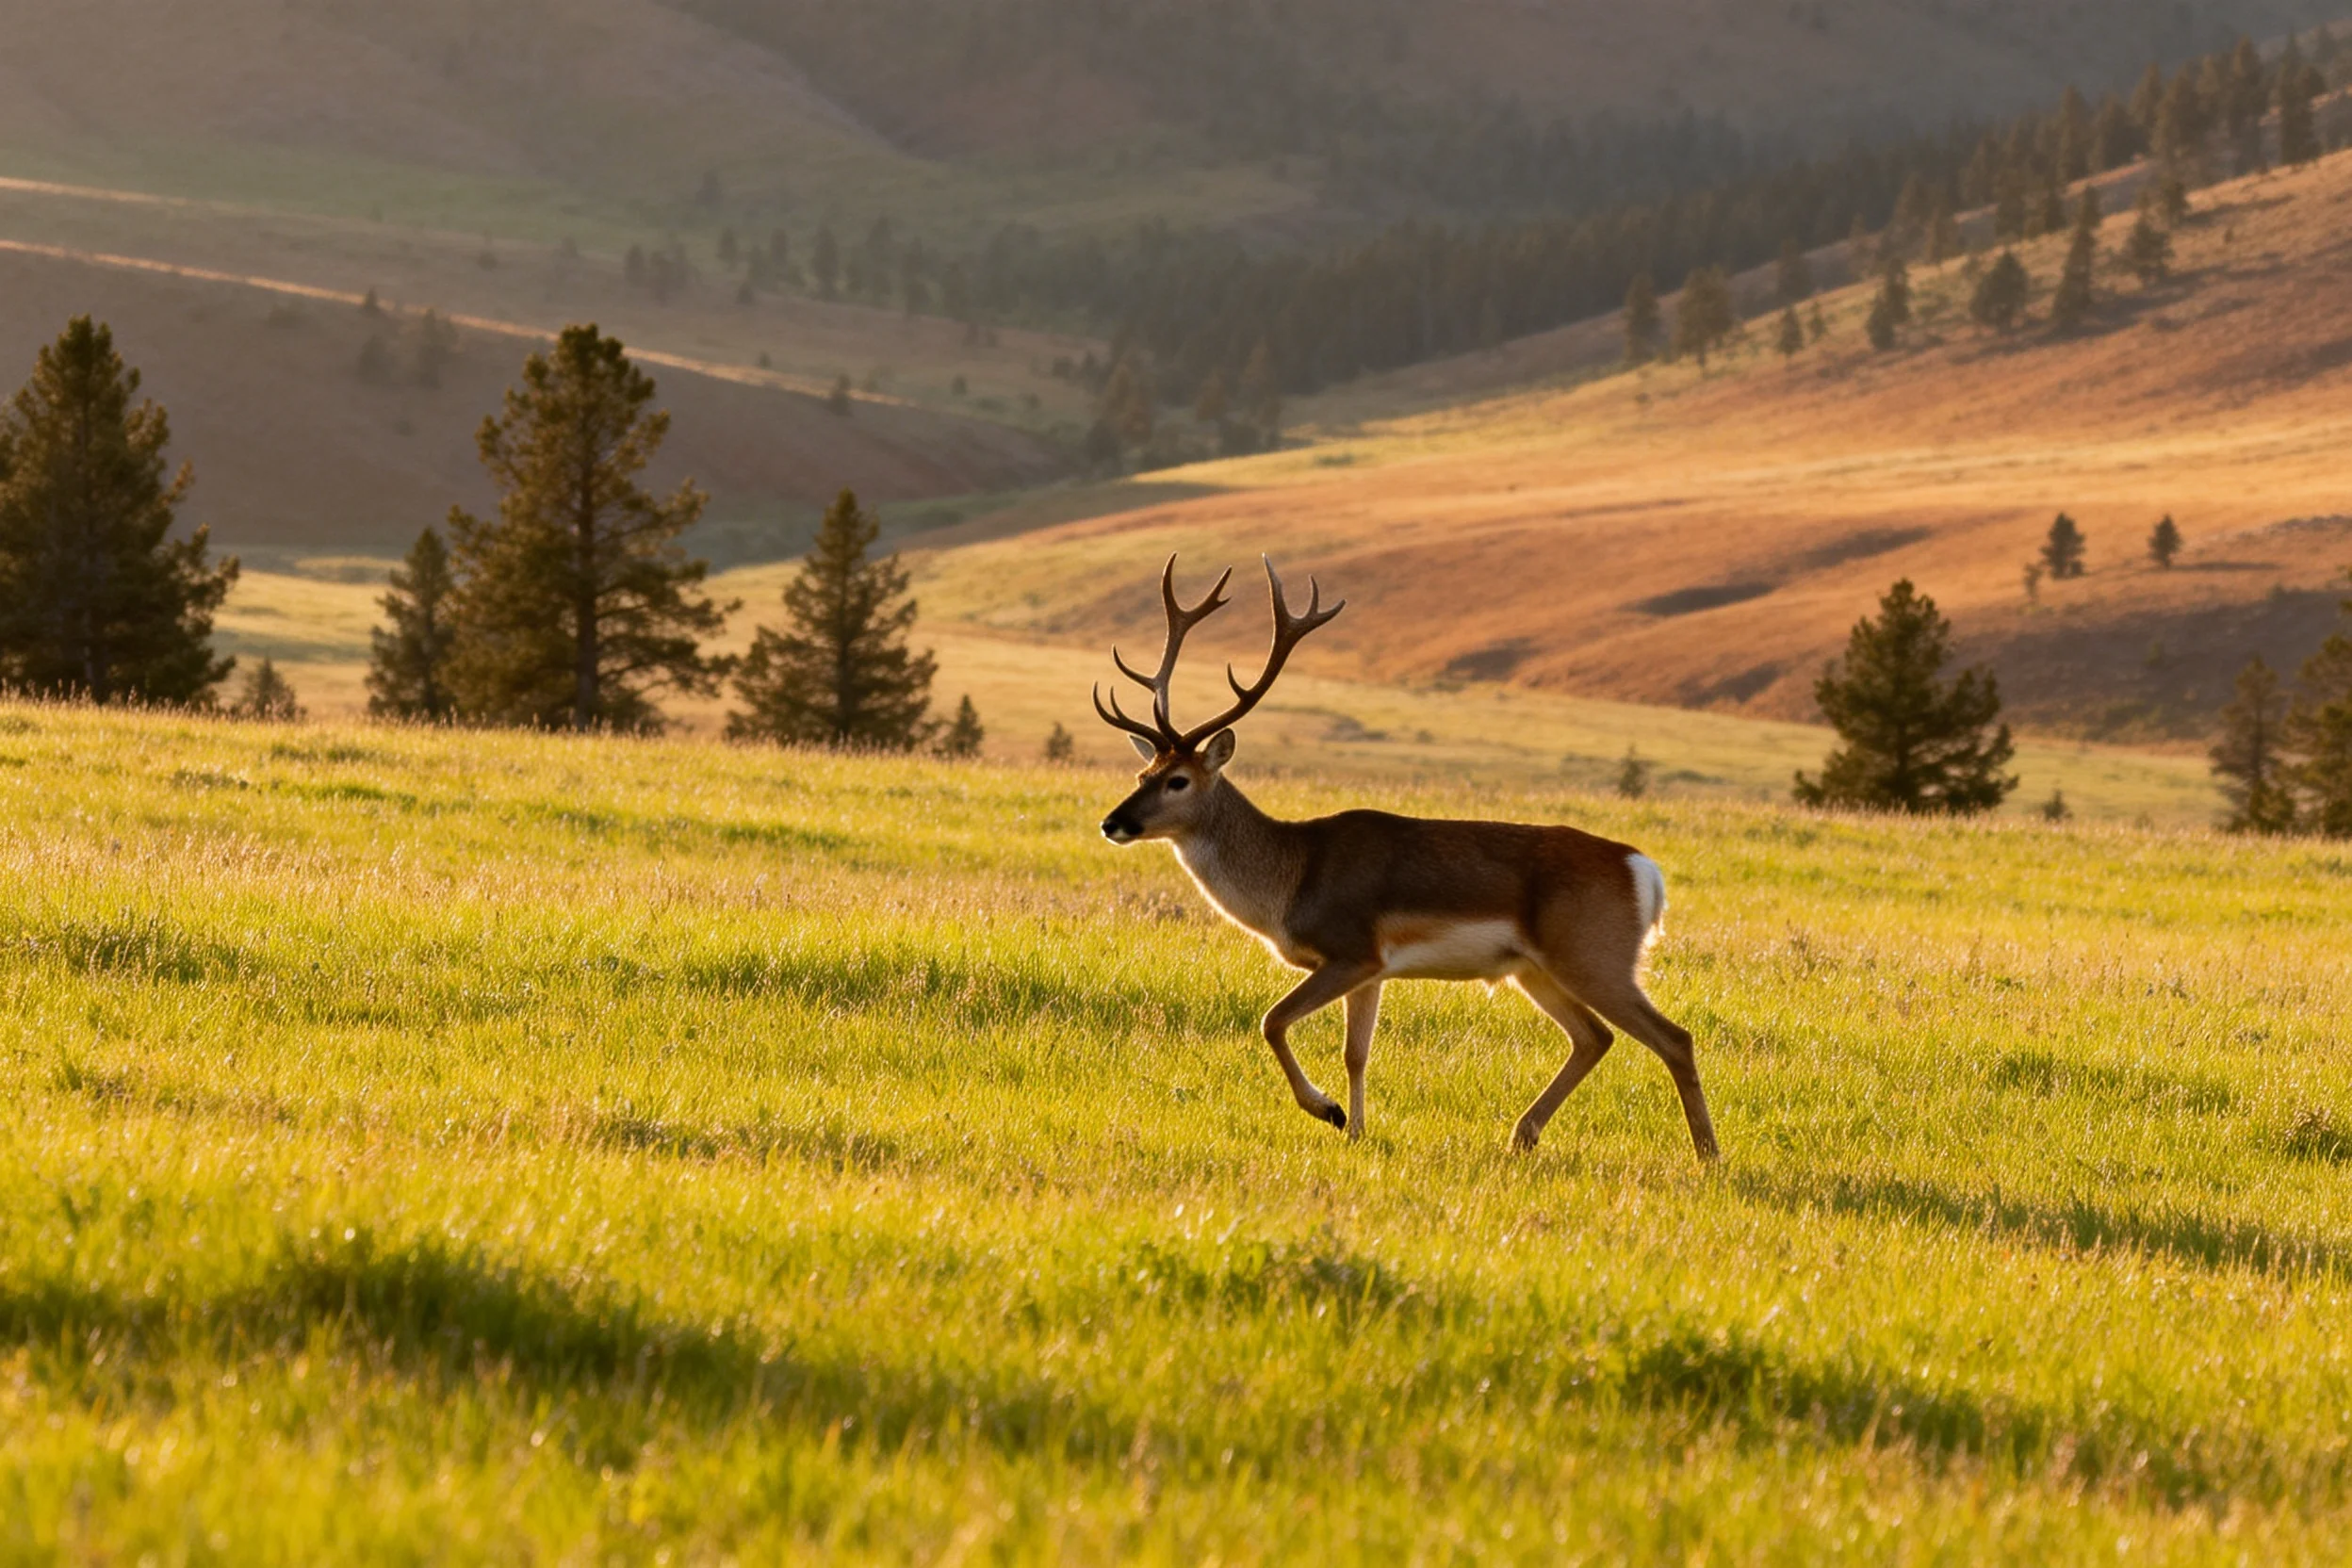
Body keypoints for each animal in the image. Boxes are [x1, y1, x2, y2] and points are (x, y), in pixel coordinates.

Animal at [1094, 556, 1718, 1161]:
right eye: (1142, 772)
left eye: (1177, 780)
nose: (1112, 822)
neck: (1292, 878)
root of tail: (1645, 873)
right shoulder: (1372, 968)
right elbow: (1356, 1052)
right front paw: (1354, 1130)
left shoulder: (1351, 949)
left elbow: (1272, 1021)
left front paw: (1327, 1111)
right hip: (1535, 968)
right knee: (1594, 1037)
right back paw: (1522, 1135)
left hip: (1593, 953)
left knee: (1673, 1037)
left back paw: (1707, 1154)